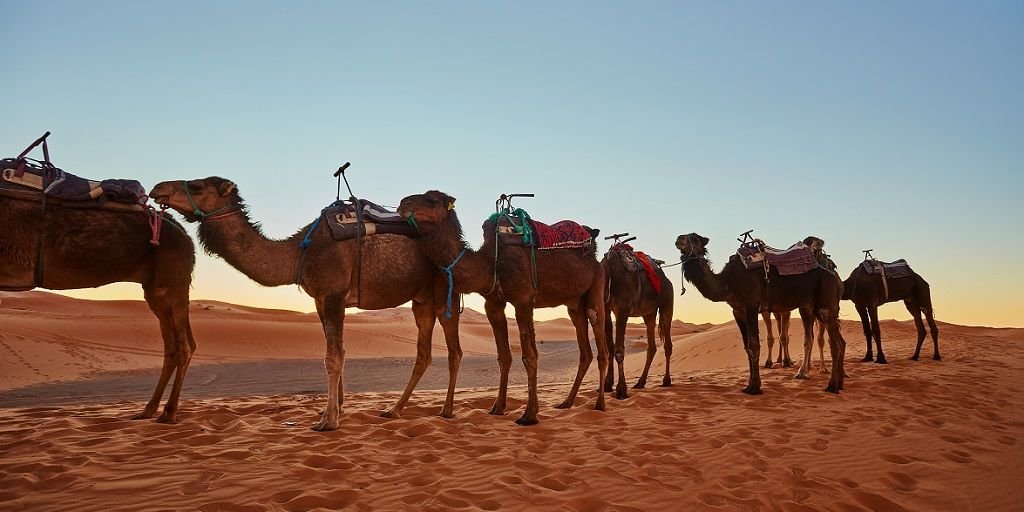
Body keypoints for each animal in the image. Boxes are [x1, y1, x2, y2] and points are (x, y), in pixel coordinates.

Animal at [1, 192, 195, 423]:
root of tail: (185, 235)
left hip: (172, 280)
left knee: (183, 347)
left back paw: (169, 412)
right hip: (154, 288)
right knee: (172, 346)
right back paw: (148, 410)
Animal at [148, 178, 460, 430]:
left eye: (197, 186)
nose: (158, 188)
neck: (299, 253)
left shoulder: (333, 293)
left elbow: (332, 357)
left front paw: (328, 421)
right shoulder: (321, 299)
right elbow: (339, 352)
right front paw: (333, 411)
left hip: (446, 289)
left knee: (453, 350)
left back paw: (446, 411)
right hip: (421, 299)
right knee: (424, 353)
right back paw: (394, 410)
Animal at [397, 190, 606, 425]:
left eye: (431, 200)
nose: (403, 203)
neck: (489, 263)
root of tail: (594, 253)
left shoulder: (523, 299)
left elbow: (529, 356)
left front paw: (529, 415)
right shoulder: (493, 303)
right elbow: (503, 356)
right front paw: (498, 407)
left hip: (596, 289)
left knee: (601, 344)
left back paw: (600, 404)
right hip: (575, 304)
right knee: (585, 352)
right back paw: (566, 403)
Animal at [598, 235, 671, 395]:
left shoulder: (622, 311)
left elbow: (619, 350)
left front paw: (621, 389)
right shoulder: (606, 310)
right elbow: (610, 349)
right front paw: (607, 384)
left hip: (667, 303)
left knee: (667, 344)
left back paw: (666, 380)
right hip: (649, 313)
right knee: (652, 347)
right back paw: (640, 382)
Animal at [675, 234, 843, 393]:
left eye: (695, 239)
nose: (679, 239)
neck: (729, 281)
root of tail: (834, 278)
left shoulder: (751, 306)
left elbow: (754, 345)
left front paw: (755, 388)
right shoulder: (738, 311)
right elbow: (747, 347)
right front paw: (749, 385)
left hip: (825, 306)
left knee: (834, 344)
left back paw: (832, 386)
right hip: (813, 308)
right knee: (838, 342)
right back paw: (839, 383)